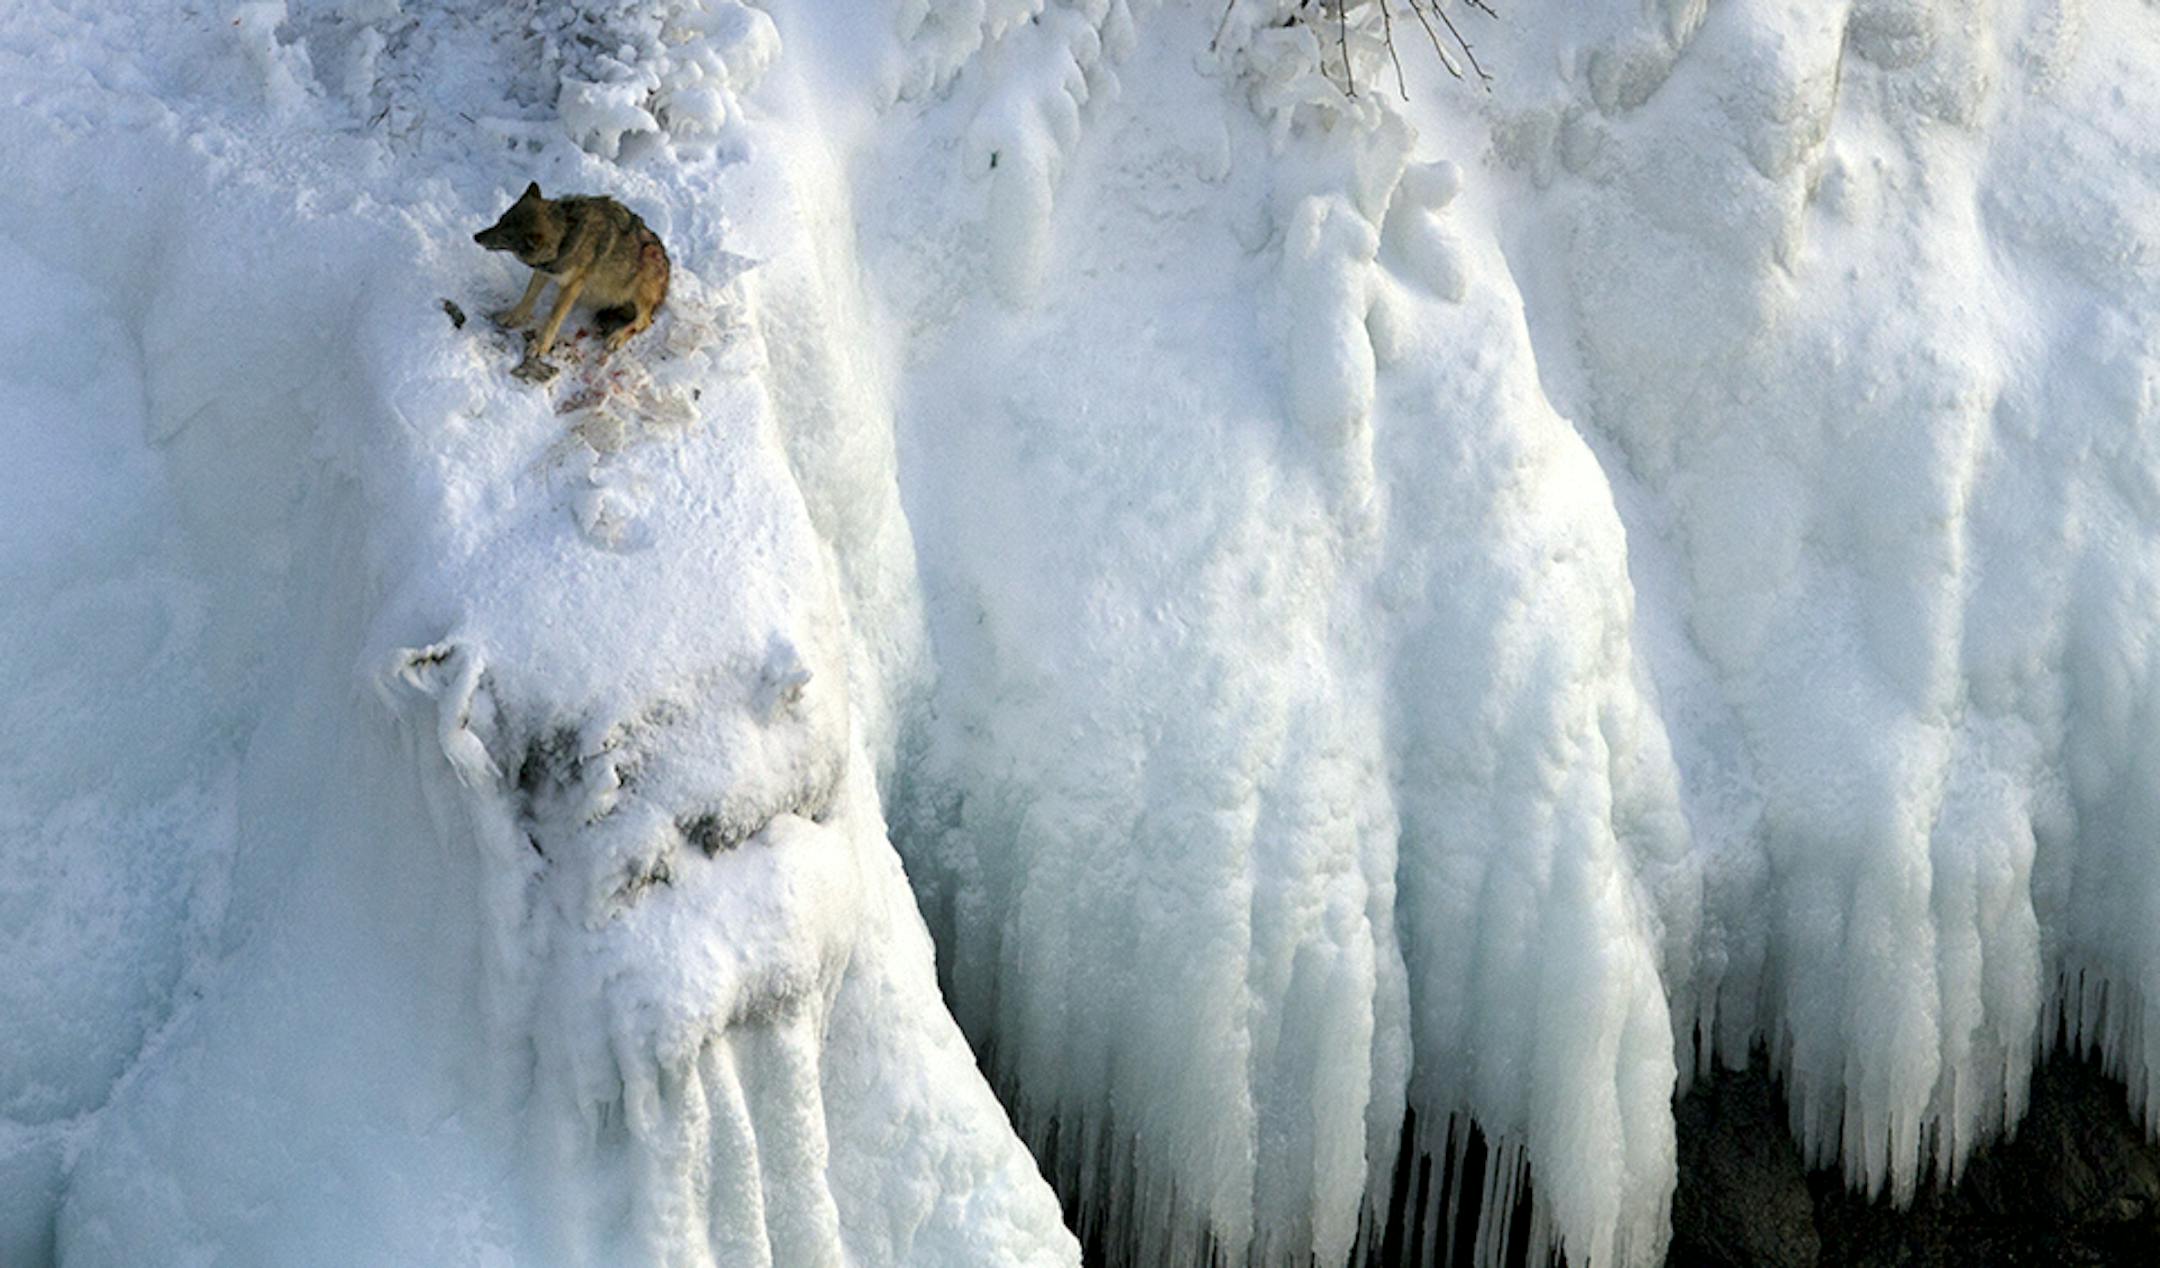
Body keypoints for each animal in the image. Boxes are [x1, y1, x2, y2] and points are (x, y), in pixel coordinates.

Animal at [473, 182, 671, 383]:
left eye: (505, 237)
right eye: (500, 221)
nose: (476, 236)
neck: (565, 235)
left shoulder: (572, 285)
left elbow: (554, 318)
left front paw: (540, 346)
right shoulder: (545, 270)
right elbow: (528, 297)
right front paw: (513, 316)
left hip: (646, 264)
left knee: (645, 321)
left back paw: (617, 337)